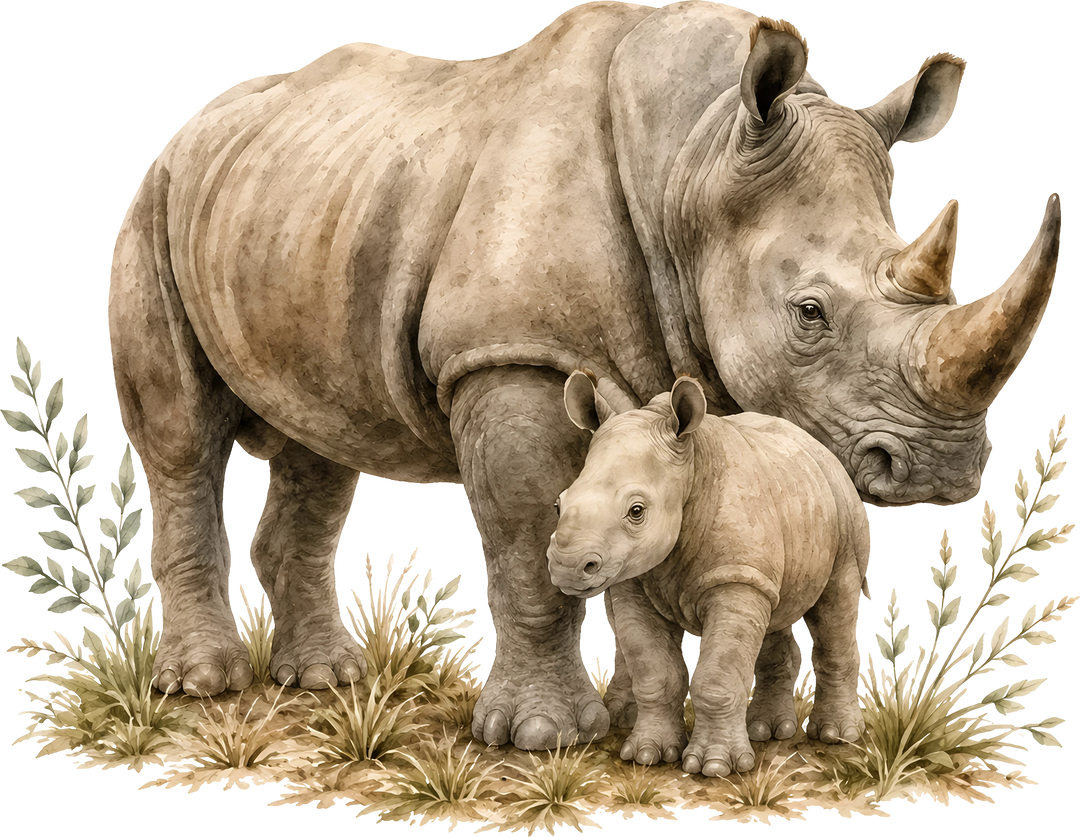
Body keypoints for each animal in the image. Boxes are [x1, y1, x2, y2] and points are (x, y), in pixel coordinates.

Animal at [549, 370, 873, 776]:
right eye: (559, 504)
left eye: (637, 511)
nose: (567, 566)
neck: (690, 467)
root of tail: (820, 449)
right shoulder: (633, 580)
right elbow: (655, 672)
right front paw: (648, 755)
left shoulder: (732, 576)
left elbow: (717, 675)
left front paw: (715, 767)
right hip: (791, 501)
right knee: (774, 610)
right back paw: (766, 731)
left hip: (843, 511)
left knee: (836, 604)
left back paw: (837, 736)